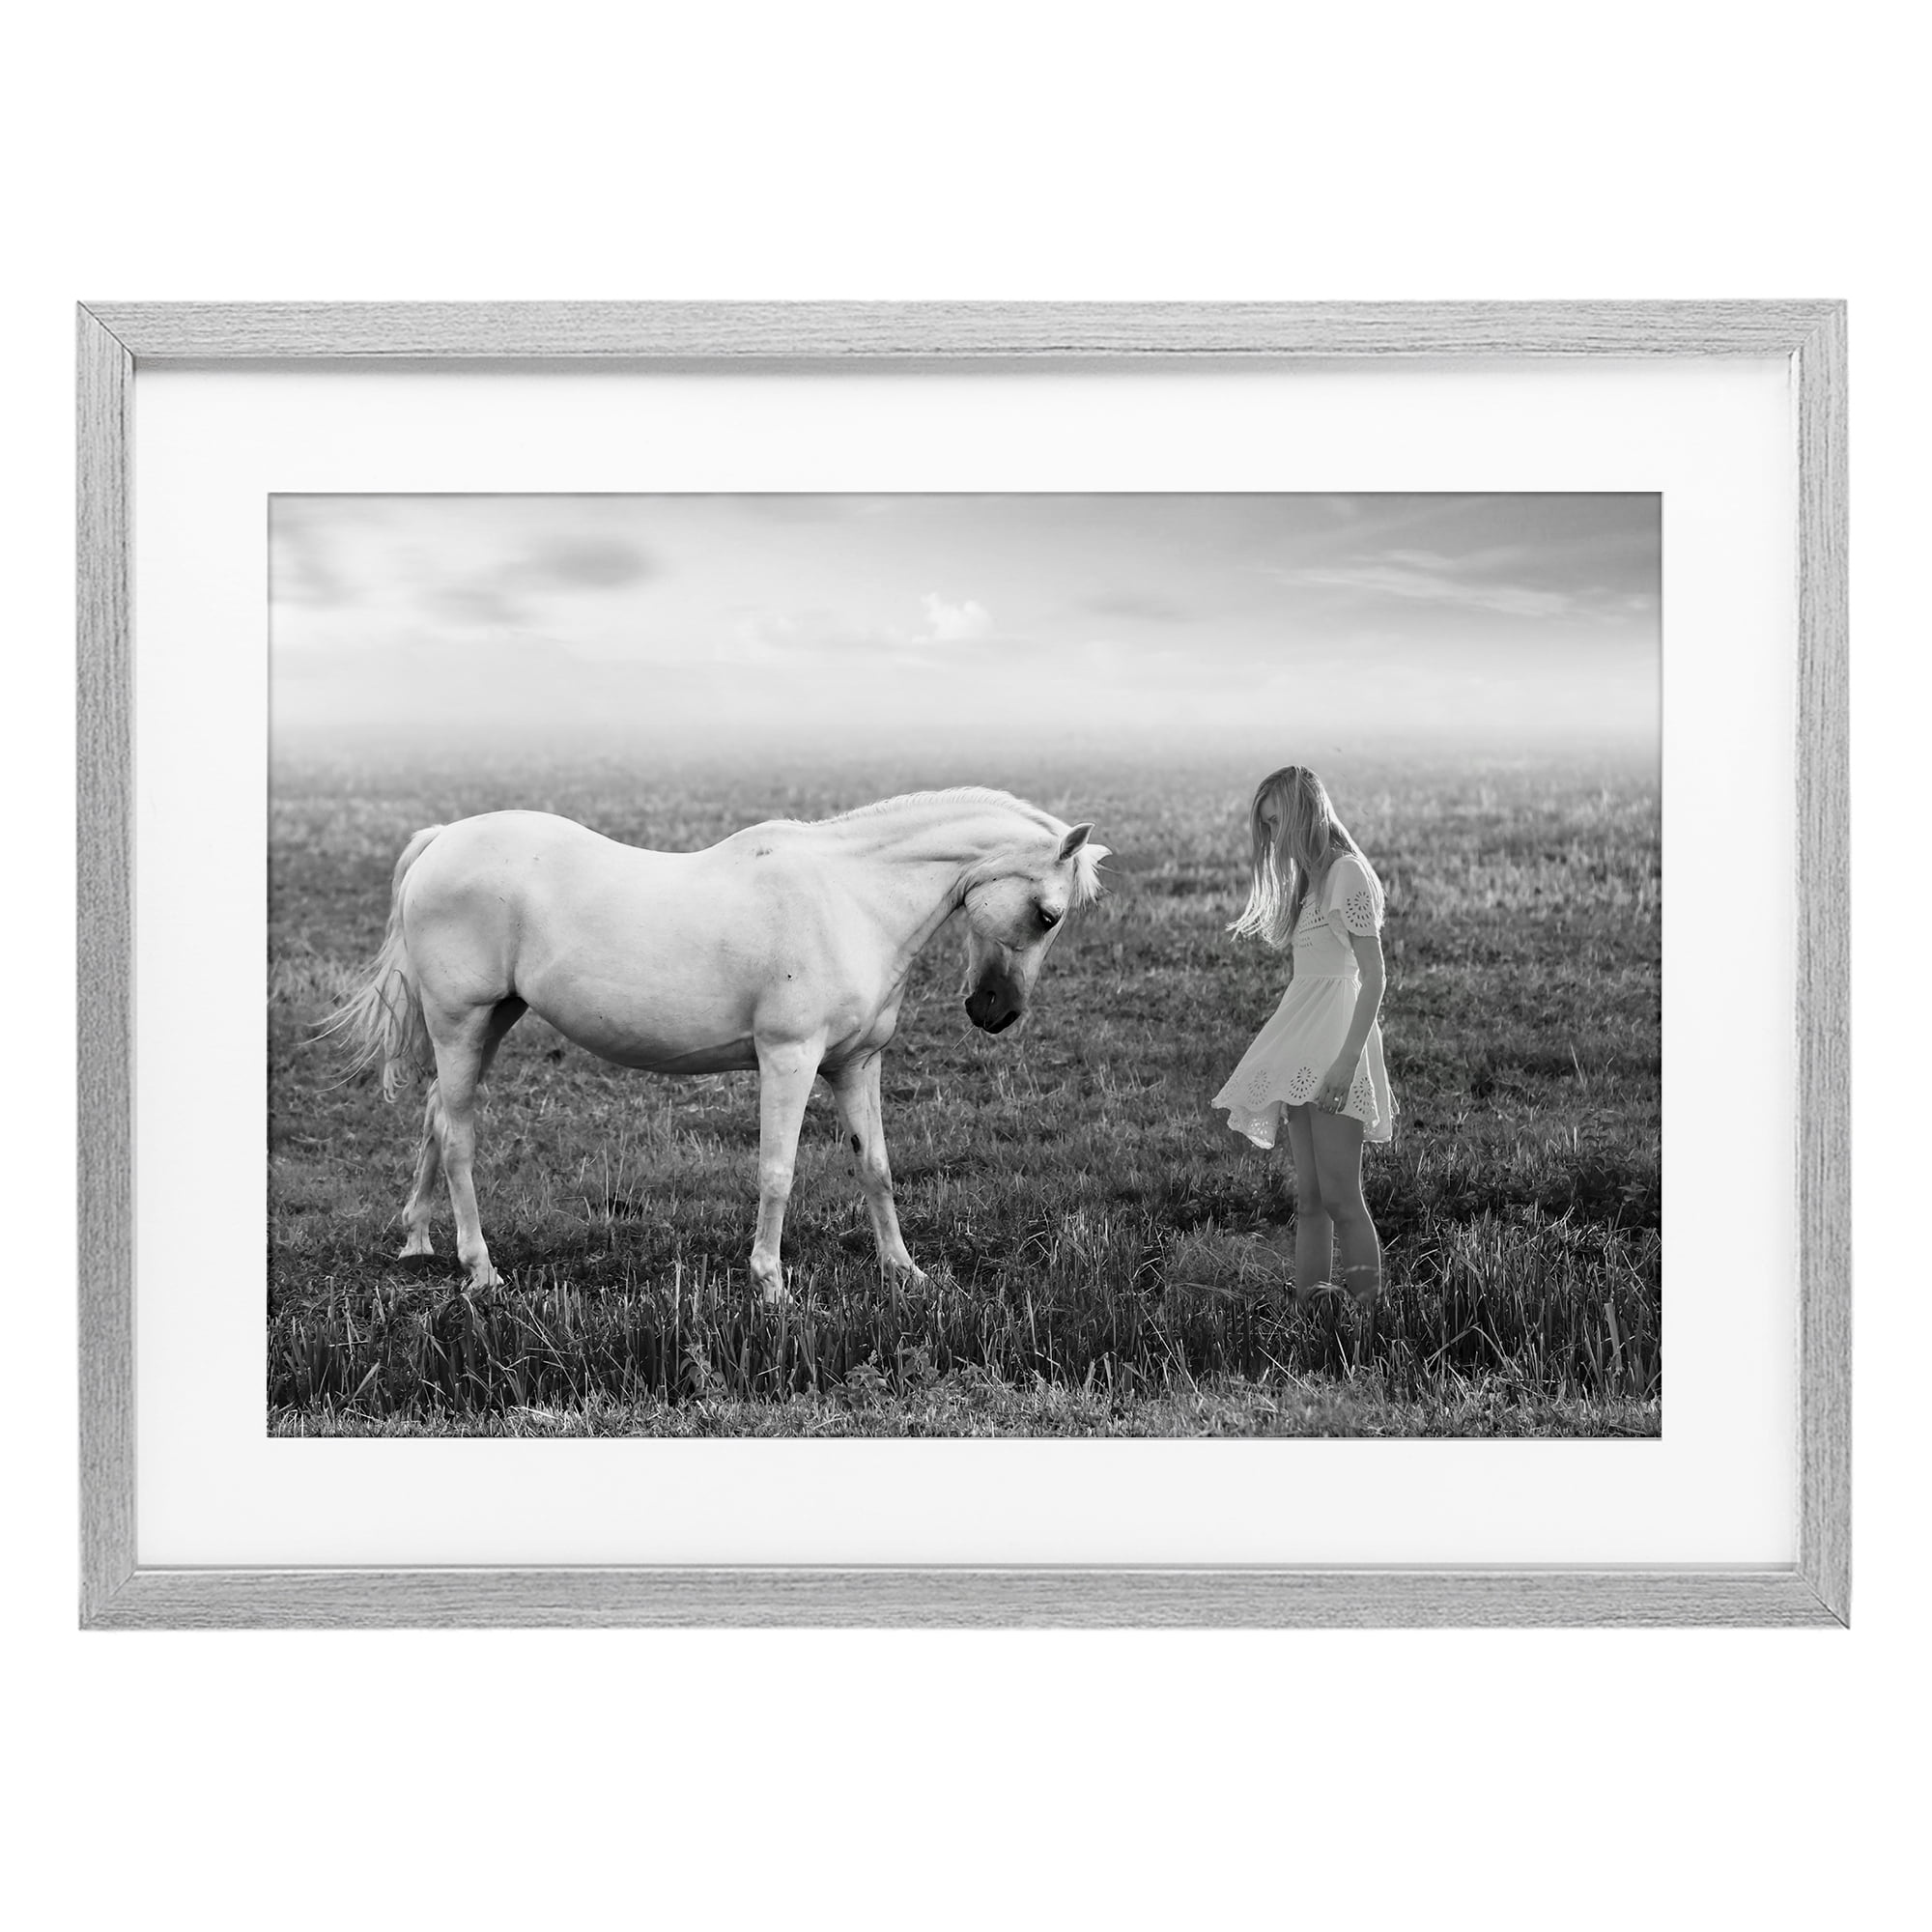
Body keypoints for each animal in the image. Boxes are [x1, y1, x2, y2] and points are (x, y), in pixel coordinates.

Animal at [326, 788, 1108, 1299]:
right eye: (1047, 914)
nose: (996, 1012)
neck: (851, 898)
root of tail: (442, 839)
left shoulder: (856, 1065)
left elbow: (877, 1167)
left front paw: (905, 1272)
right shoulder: (789, 1059)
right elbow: (777, 1172)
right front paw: (771, 1285)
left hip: (492, 1021)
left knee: (437, 1114)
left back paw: (418, 1240)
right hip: (461, 1022)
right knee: (458, 1135)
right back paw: (480, 1270)